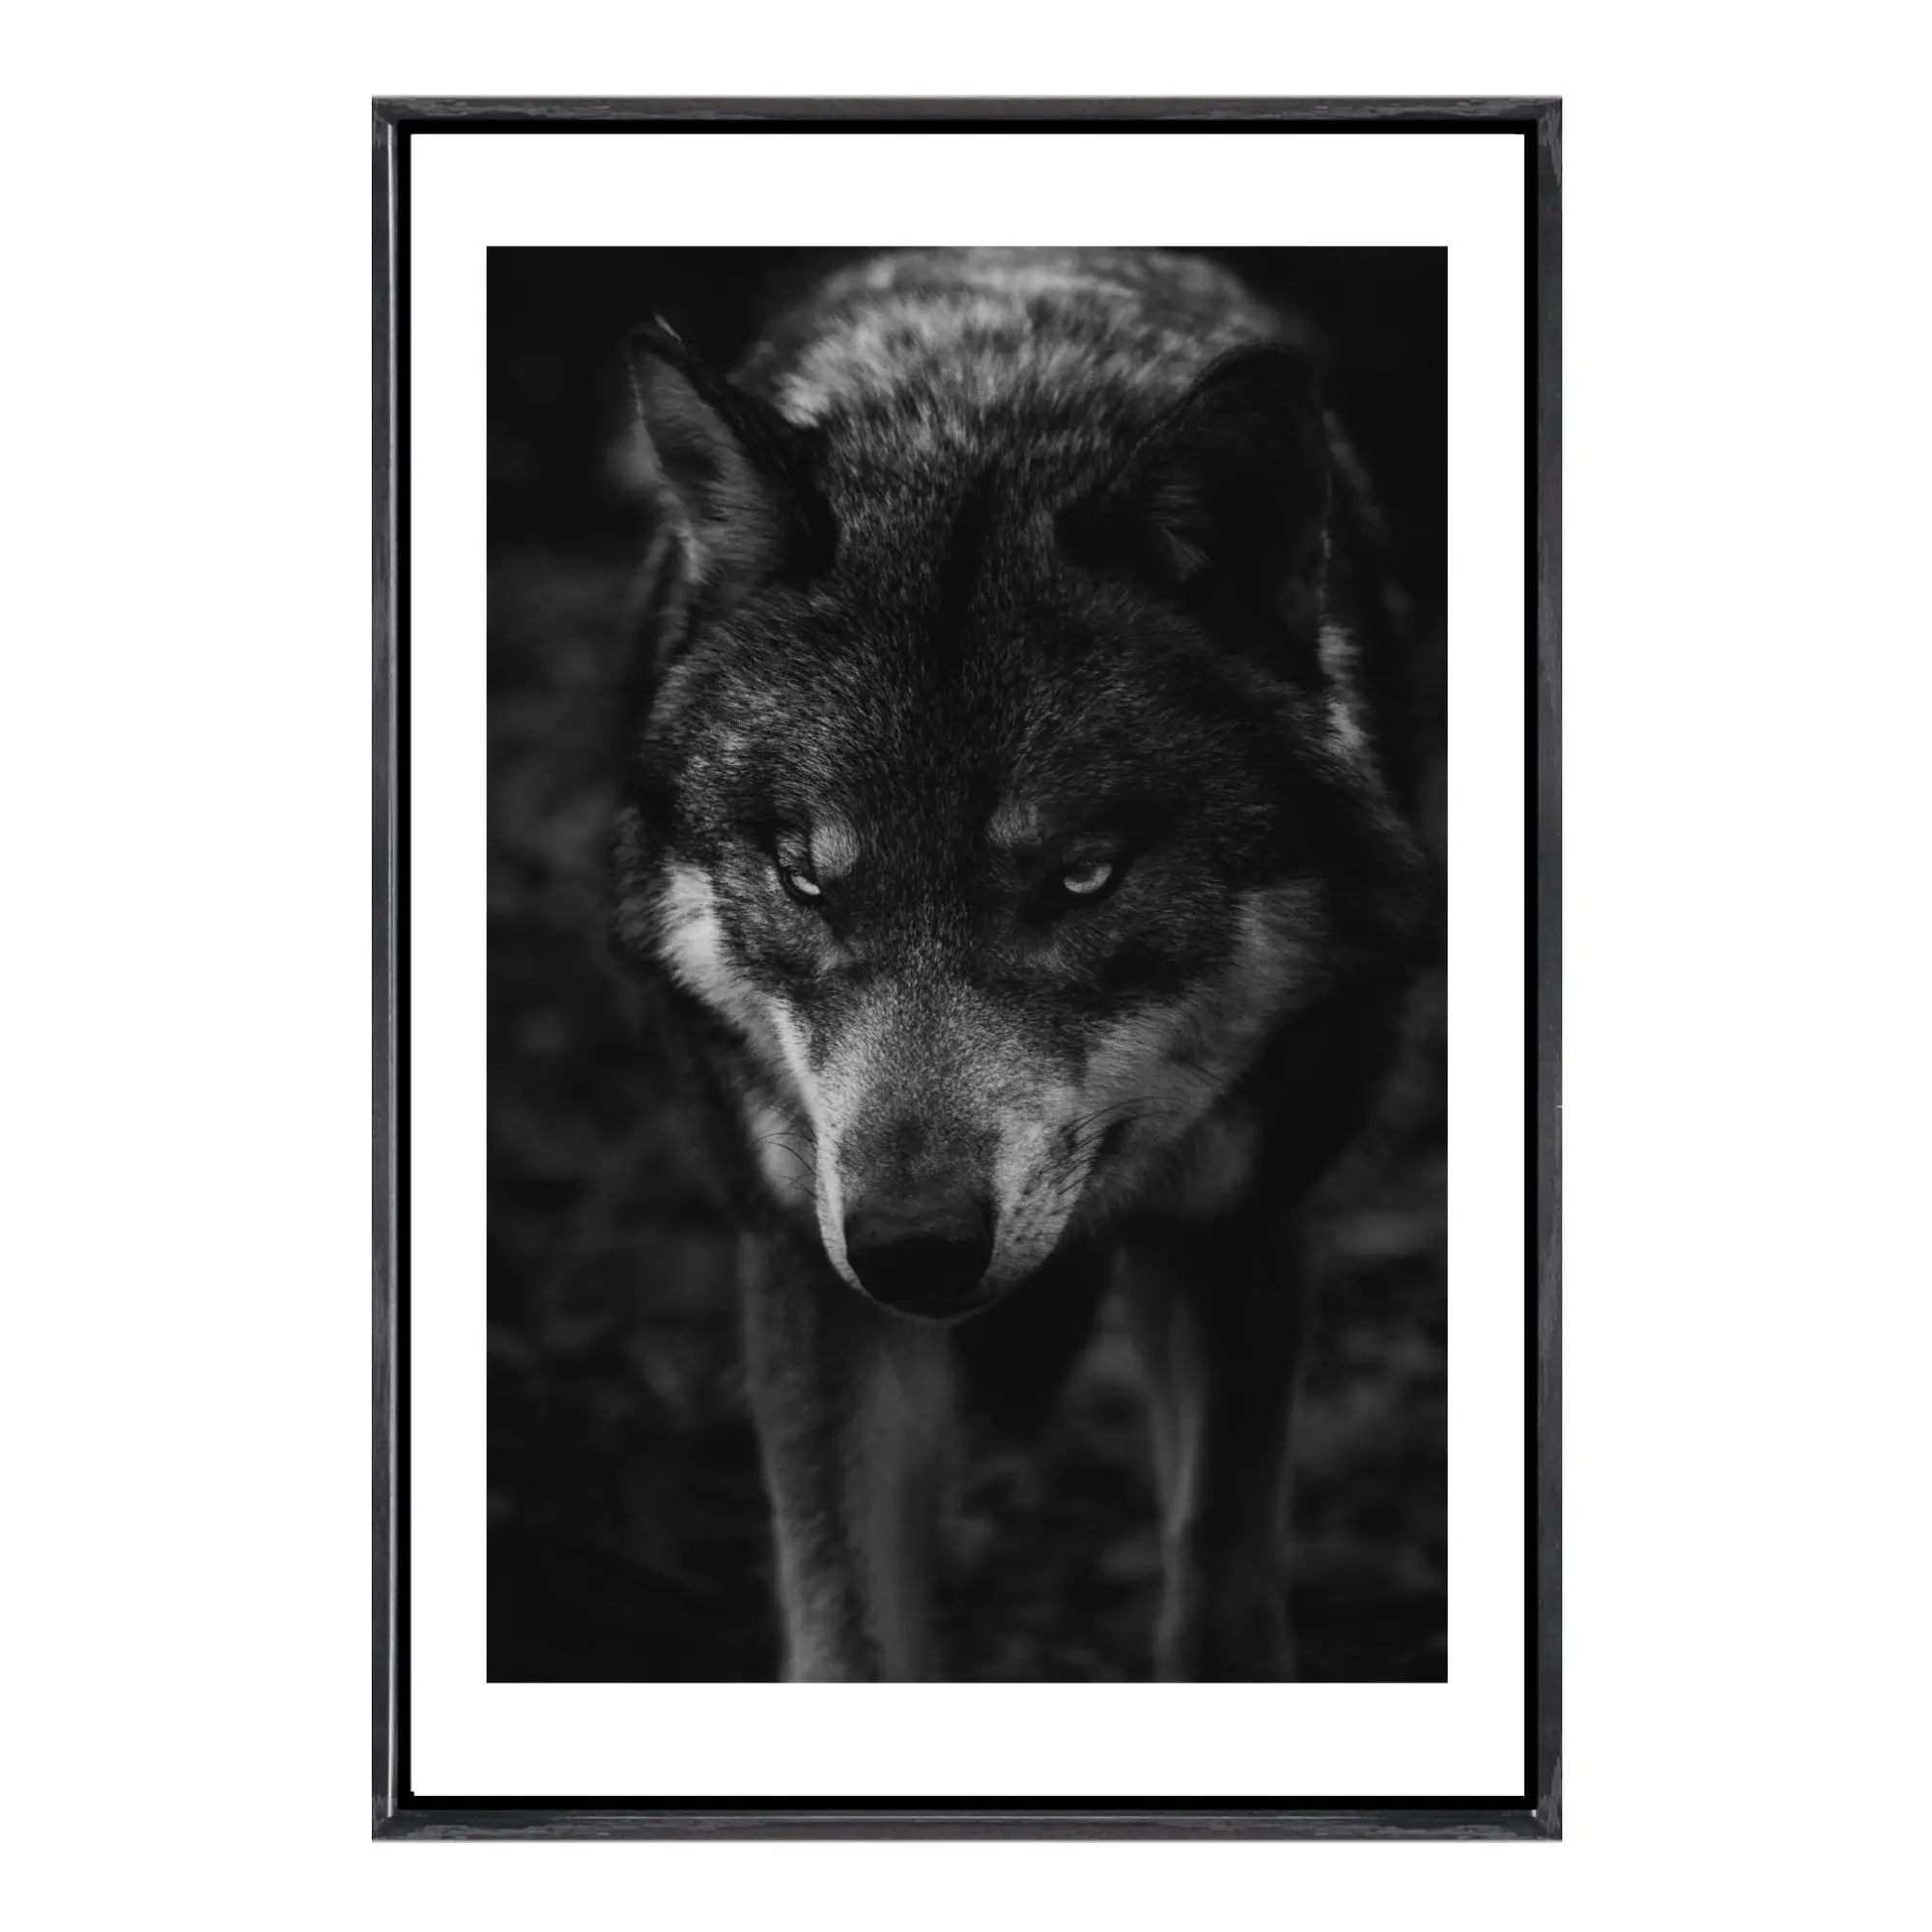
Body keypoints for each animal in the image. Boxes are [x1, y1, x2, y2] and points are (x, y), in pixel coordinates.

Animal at [609, 250, 1435, 1681]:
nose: (912, 1248)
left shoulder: (1243, 1227)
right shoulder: (802, 1262)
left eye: (1082, 876)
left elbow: (1218, 1598)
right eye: (807, 878)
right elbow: (846, 1634)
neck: (983, 416)